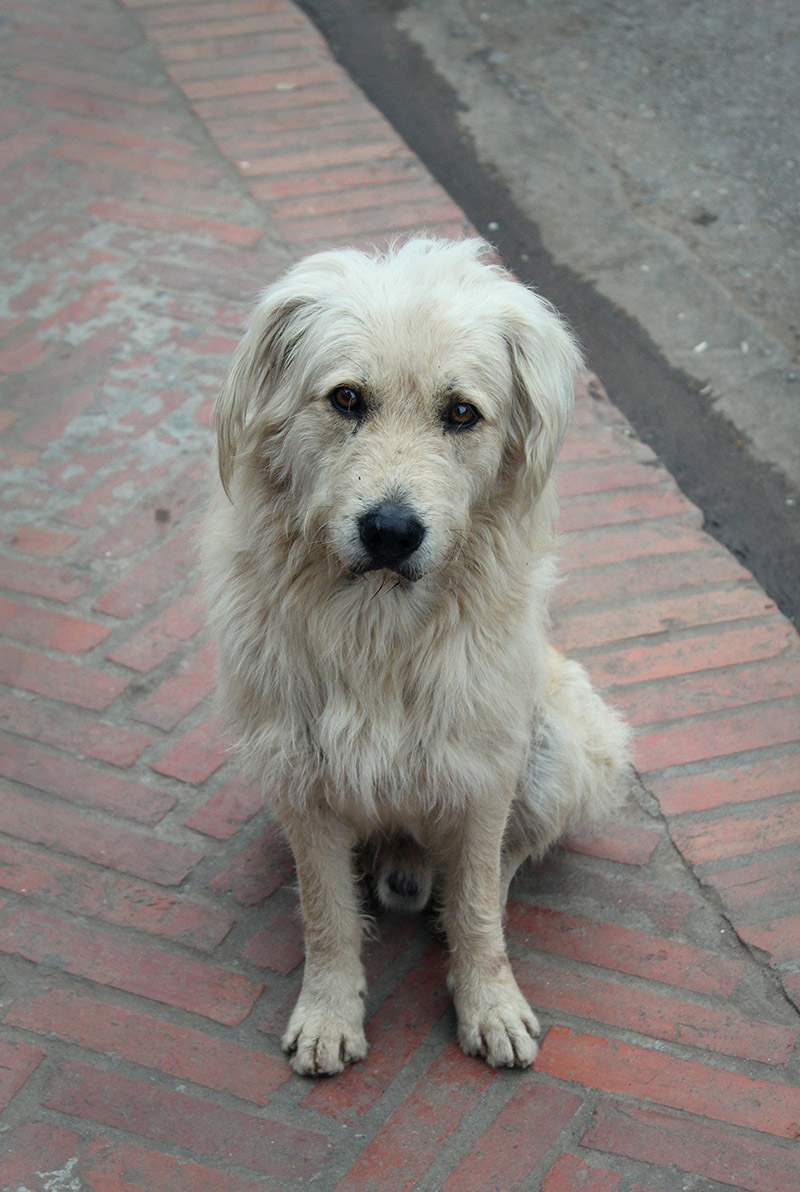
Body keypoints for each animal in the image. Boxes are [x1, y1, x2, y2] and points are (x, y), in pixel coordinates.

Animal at [205, 237, 634, 1077]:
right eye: (346, 399)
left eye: (461, 412)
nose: (391, 531)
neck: (377, 625)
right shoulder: (300, 773)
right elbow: (326, 911)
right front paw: (329, 1011)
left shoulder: (483, 766)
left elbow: (475, 906)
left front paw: (489, 1002)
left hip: (564, 742)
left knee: (503, 861)